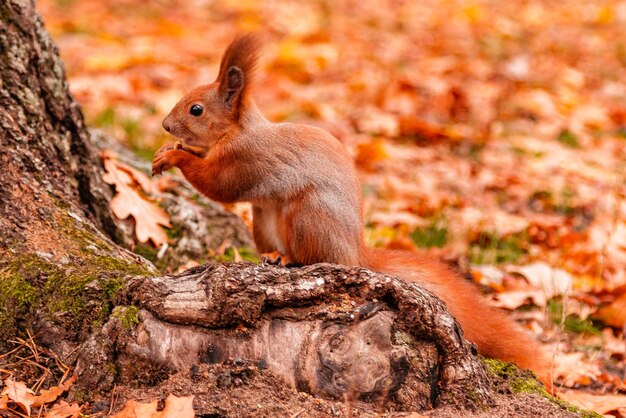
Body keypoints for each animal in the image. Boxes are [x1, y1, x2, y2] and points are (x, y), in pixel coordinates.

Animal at [154, 34, 548, 386]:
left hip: (308, 216)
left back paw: (288, 259)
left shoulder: (245, 159)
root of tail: (356, 253)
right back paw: (271, 255)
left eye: (196, 109)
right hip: (262, 220)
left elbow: (217, 185)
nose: (165, 126)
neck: (236, 130)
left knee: (314, 257)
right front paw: (171, 149)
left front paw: (173, 157)